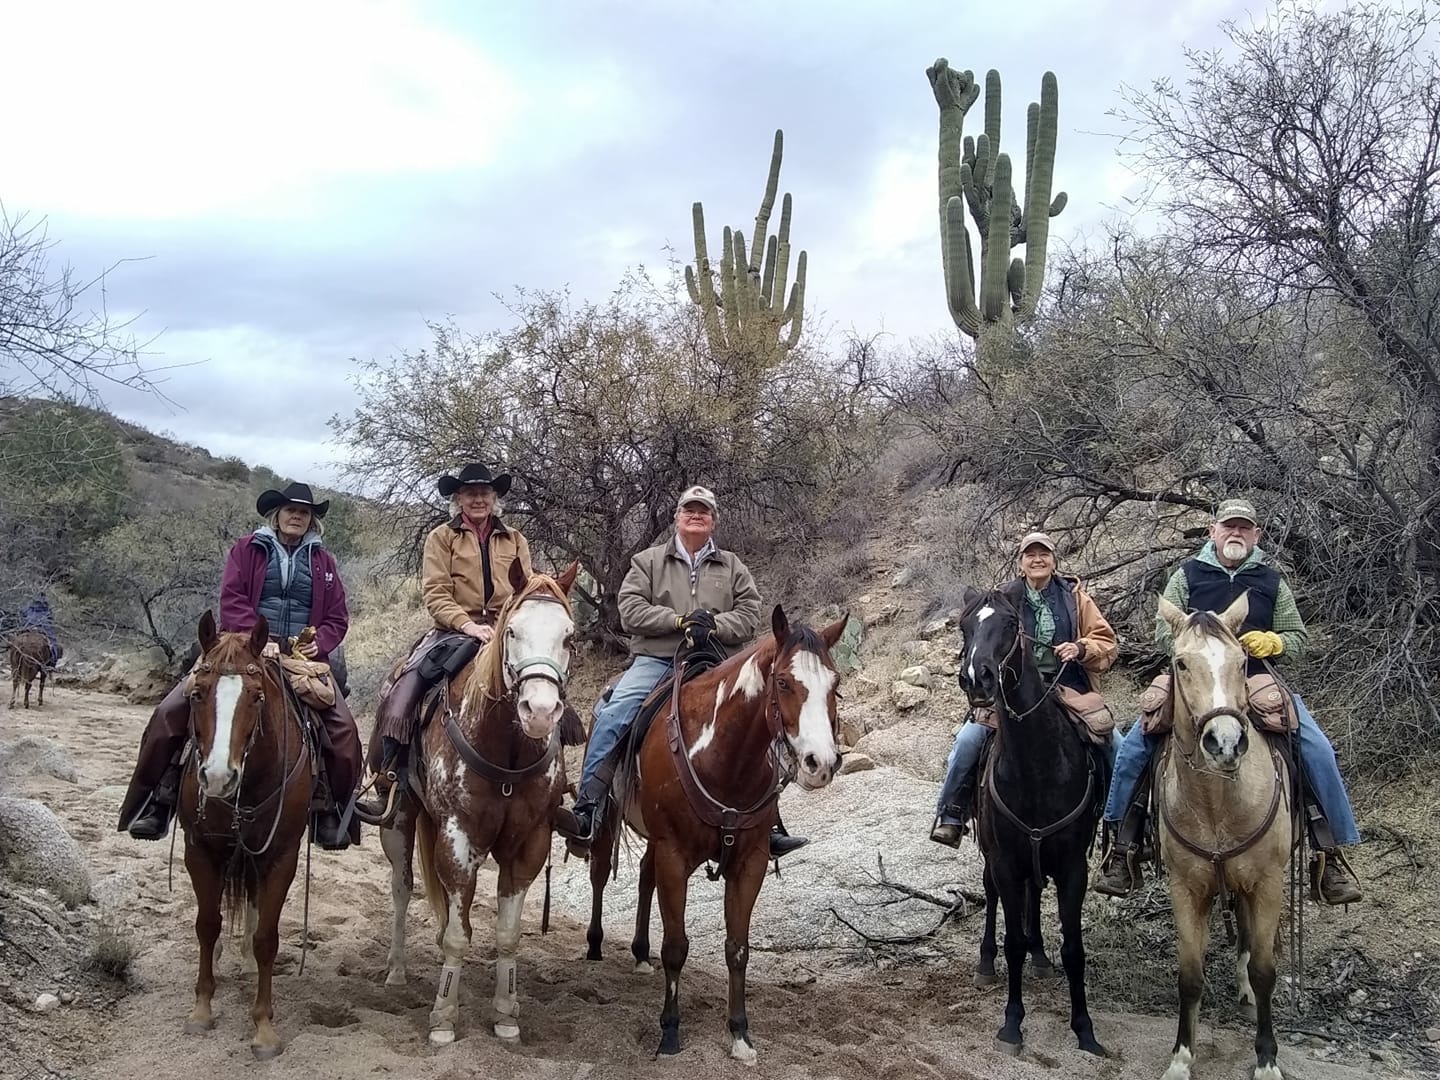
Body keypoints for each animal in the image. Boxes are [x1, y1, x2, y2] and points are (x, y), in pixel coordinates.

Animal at [177, 610, 314, 1059]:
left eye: (256, 697)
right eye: (197, 694)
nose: (219, 777)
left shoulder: (281, 855)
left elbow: (266, 939)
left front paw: (264, 1028)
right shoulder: (200, 849)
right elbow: (207, 923)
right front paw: (201, 1008)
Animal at [377, 559, 579, 1045]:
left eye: (569, 636)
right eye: (513, 631)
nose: (538, 712)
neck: (504, 748)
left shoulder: (529, 844)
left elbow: (506, 934)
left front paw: (506, 1014)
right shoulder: (458, 836)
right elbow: (458, 935)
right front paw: (443, 1018)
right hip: (399, 819)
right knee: (402, 886)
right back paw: (396, 970)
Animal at [585, 605, 847, 1063]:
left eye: (835, 685)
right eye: (783, 682)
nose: (821, 763)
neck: (721, 757)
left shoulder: (749, 862)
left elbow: (737, 949)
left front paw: (740, 1034)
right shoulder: (675, 856)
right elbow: (676, 947)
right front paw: (670, 1032)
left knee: (644, 875)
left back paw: (640, 954)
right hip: (609, 819)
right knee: (600, 873)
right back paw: (596, 944)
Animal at [956, 581, 1105, 1057]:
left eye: (1009, 623)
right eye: (963, 625)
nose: (976, 678)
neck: (1037, 763)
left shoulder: (1073, 867)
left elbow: (1074, 948)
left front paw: (1085, 1029)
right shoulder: (1005, 861)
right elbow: (1012, 942)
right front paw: (1011, 1024)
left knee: (1034, 895)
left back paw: (1041, 957)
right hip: (996, 855)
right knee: (993, 897)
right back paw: (986, 963)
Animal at [1155, 593, 1294, 1080]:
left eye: (1242, 661)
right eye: (1180, 663)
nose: (1226, 743)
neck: (1217, 804)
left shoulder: (1269, 884)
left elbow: (1266, 971)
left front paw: (1267, 1060)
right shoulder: (1185, 888)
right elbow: (1189, 976)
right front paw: (1181, 1058)